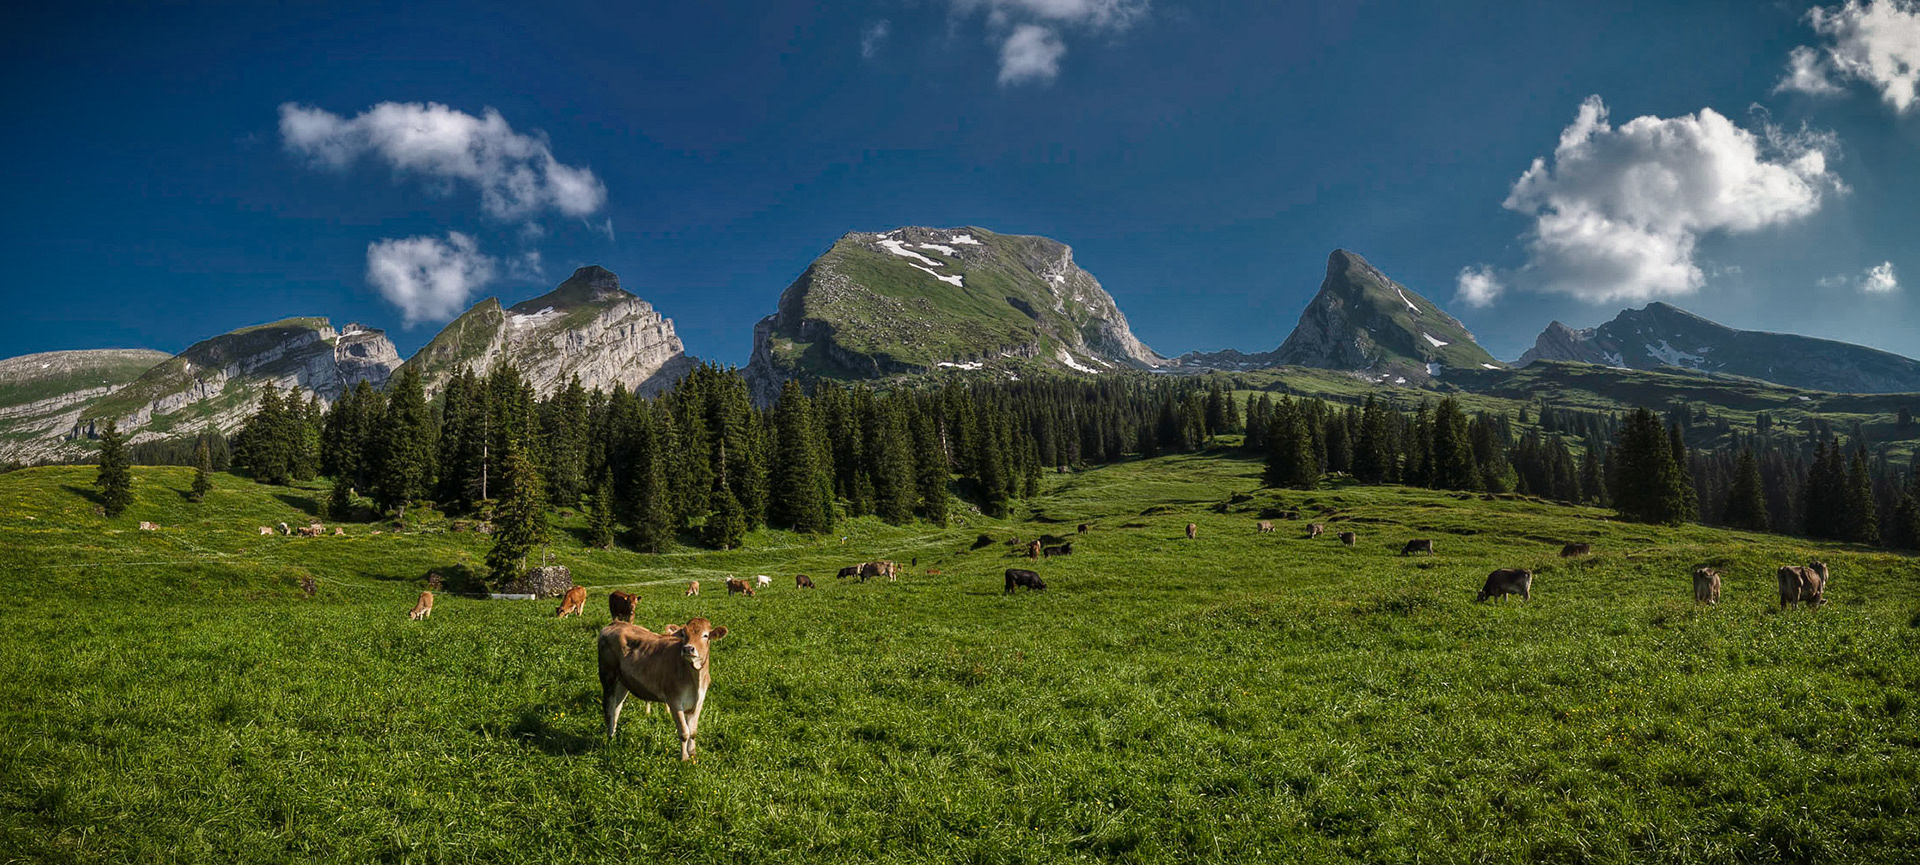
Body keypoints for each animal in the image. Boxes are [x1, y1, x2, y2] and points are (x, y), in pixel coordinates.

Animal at [598, 617, 728, 761]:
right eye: (683, 634)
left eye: (705, 635)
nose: (688, 648)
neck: (695, 679)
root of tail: (616, 623)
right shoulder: (674, 700)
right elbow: (684, 732)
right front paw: (684, 758)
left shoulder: (699, 701)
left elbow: (693, 731)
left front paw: (693, 754)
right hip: (608, 676)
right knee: (609, 708)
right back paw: (609, 738)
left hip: (623, 682)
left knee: (617, 707)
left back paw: (613, 737)